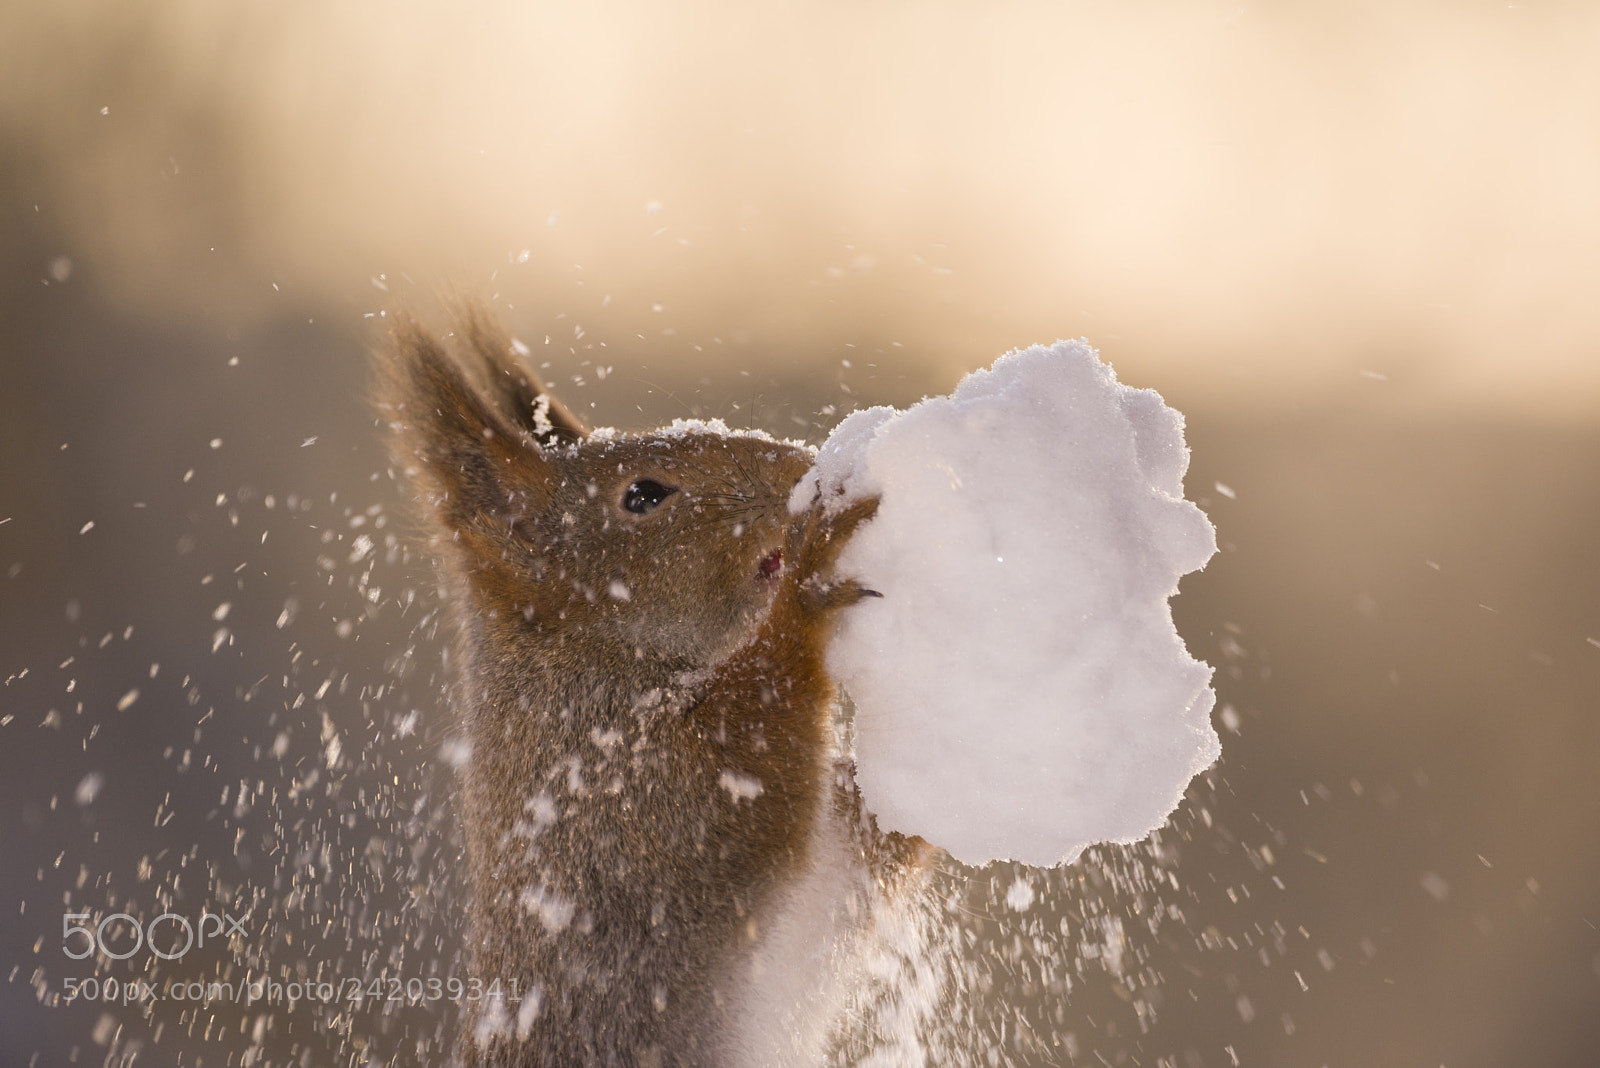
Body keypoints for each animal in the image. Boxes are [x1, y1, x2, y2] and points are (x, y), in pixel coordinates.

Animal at [378, 310, 932, 1067]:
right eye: (643, 495)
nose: (802, 470)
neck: (586, 675)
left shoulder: (840, 872)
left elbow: (885, 842)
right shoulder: (627, 808)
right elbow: (752, 766)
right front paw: (806, 583)